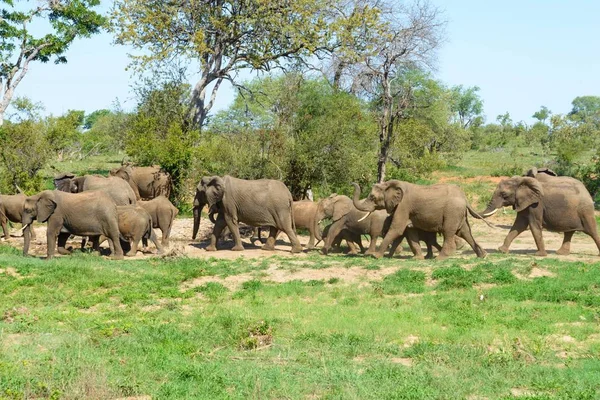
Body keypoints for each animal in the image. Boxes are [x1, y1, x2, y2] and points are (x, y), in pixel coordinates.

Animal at [352, 181, 488, 260]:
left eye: (372, 197)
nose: (353, 183)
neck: (390, 185)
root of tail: (464, 198)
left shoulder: (403, 206)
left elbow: (397, 229)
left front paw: (375, 256)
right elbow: (410, 232)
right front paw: (417, 258)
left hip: (452, 212)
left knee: (449, 232)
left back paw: (440, 258)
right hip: (459, 213)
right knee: (465, 232)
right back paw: (482, 255)